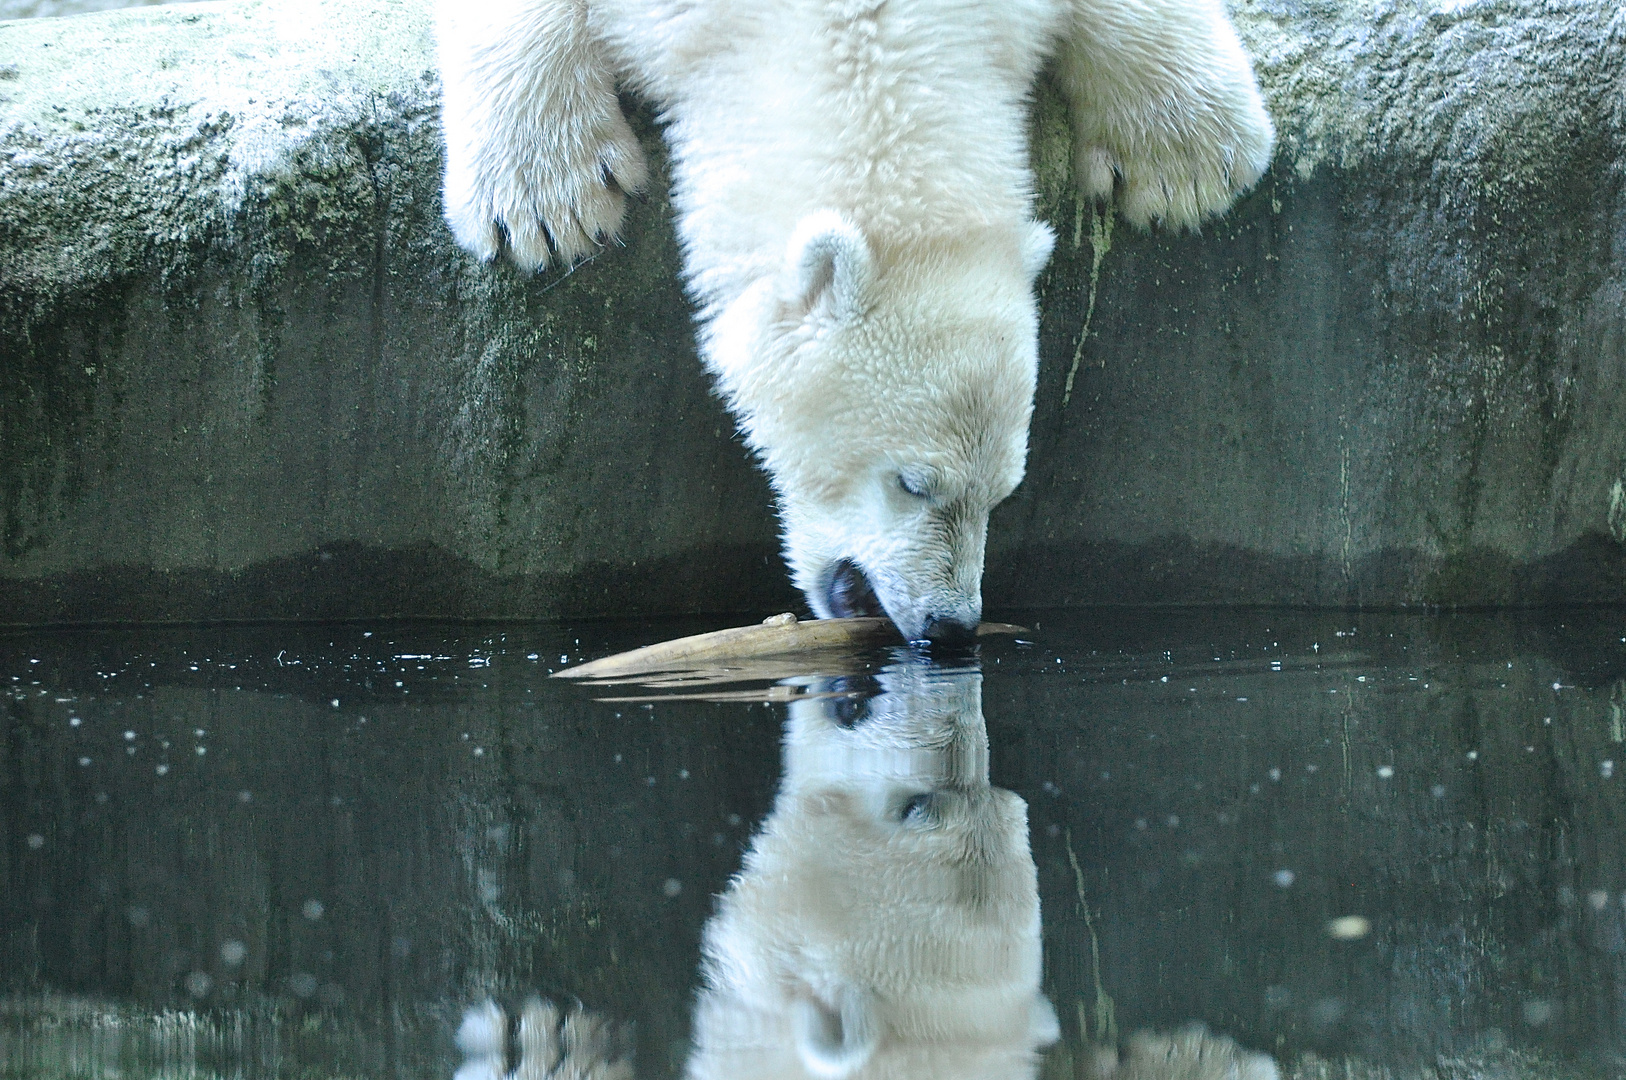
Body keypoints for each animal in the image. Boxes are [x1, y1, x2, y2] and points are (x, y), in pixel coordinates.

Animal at [439, 0, 1274, 640]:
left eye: (1004, 493)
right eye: (912, 483)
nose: (951, 624)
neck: (847, 21)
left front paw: (1187, 161)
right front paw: (546, 201)